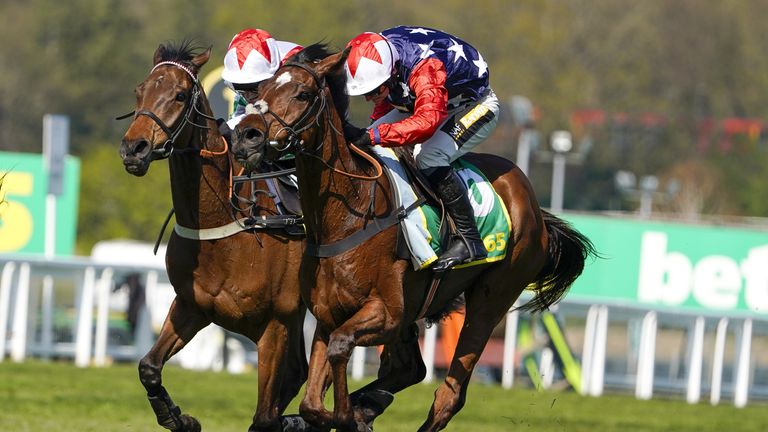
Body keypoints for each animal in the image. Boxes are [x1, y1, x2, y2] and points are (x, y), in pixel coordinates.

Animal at [120, 42, 306, 432]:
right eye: (139, 90)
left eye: (179, 95)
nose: (134, 148)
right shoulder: (192, 307)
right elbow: (149, 367)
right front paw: (180, 418)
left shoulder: (275, 324)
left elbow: (265, 415)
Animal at [232, 44, 592, 432]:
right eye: (261, 90)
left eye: (302, 94)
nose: (247, 136)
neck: (346, 215)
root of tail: (534, 206)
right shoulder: (328, 314)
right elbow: (313, 402)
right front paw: (344, 413)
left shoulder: (386, 313)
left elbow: (340, 352)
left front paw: (348, 416)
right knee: (410, 370)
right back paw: (369, 402)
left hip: (492, 297)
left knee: (449, 395)